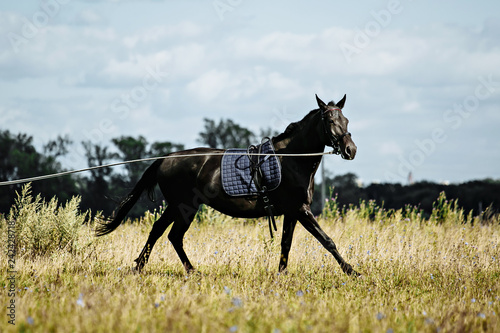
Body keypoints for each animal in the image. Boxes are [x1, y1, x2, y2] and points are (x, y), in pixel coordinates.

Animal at [94, 93, 360, 274]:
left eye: (346, 119)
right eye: (329, 120)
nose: (351, 150)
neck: (291, 159)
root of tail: (166, 158)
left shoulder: (292, 212)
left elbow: (286, 244)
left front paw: (281, 274)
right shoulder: (300, 210)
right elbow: (327, 240)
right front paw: (352, 271)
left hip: (176, 206)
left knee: (159, 231)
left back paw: (142, 266)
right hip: (184, 207)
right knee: (173, 235)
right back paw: (189, 270)